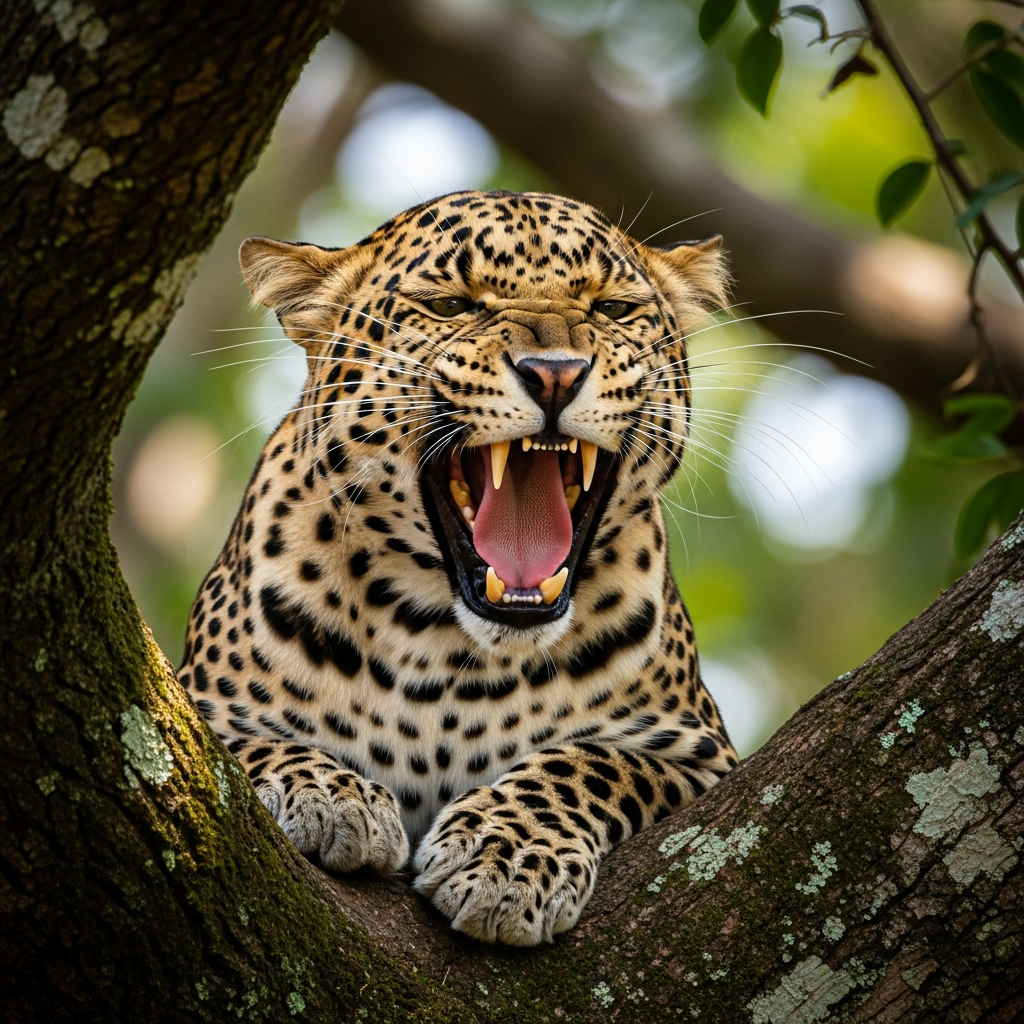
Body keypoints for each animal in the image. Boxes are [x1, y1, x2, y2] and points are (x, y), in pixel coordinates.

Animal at [177, 189, 738, 946]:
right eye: (450, 306)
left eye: (613, 310)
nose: (555, 372)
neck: (442, 649)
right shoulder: (194, 705)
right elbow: (246, 743)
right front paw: (329, 793)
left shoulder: (702, 756)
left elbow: (593, 762)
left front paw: (509, 854)